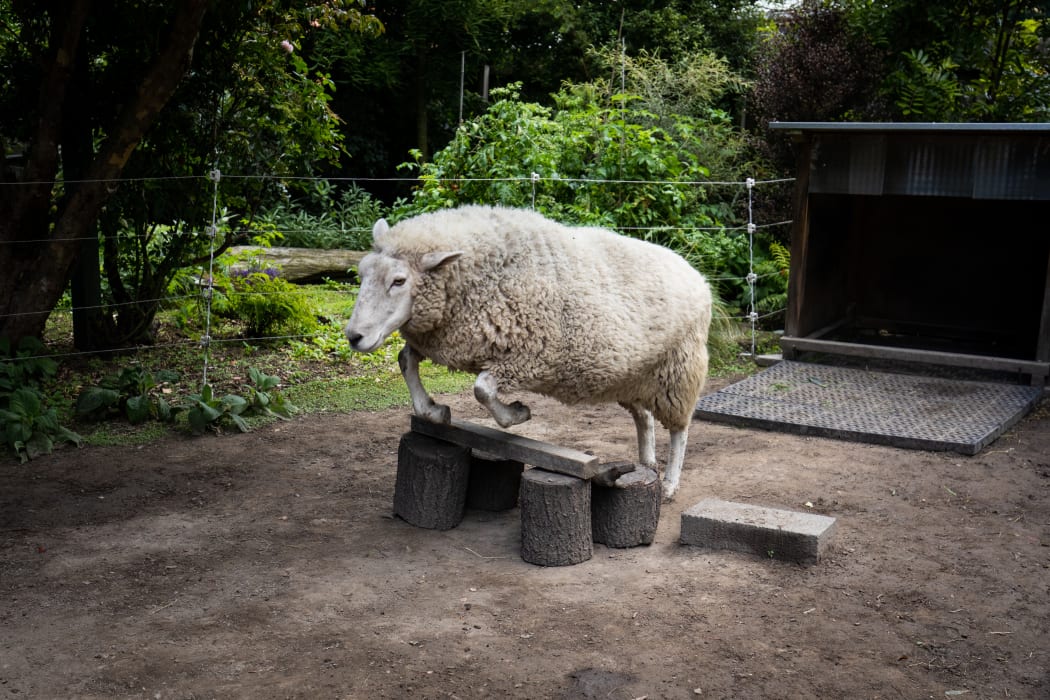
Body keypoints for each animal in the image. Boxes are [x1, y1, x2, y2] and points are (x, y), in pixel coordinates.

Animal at [344, 202, 713, 497]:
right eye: (362, 274)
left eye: (399, 281)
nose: (354, 336)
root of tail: (696, 274)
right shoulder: (446, 341)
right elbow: (405, 359)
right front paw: (431, 410)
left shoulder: (526, 358)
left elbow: (481, 389)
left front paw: (518, 414)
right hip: (630, 377)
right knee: (644, 417)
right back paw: (647, 461)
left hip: (679, 371)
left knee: (680, 430)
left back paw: (669, 483)